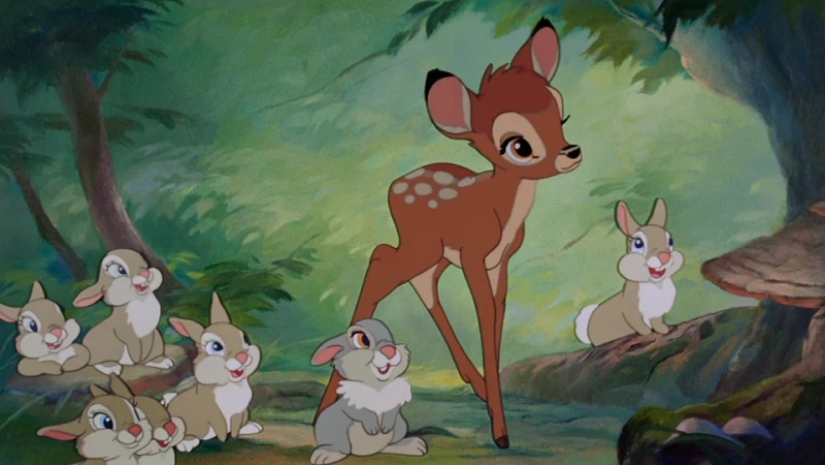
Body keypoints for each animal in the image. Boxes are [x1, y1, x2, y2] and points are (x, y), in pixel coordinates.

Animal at [313, 17, 582, 449]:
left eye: (561, 116)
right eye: (518, 146)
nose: (571, 153)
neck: (500, 211)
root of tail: (393, 187)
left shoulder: (499, 261)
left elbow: (497, 317)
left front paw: (496, 415)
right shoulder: (473, 254)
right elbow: (485, 317)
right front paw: (501, 433)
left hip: (435, 256)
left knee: (420, 284)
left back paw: (475, 386)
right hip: (422, 247)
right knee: (381, 259)